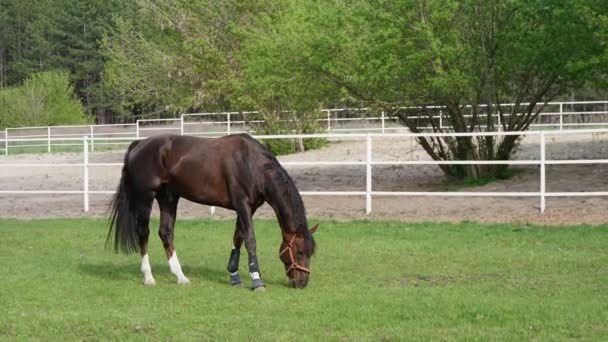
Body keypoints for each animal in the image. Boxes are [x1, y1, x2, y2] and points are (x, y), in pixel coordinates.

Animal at [106, 134, 318, 288]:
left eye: (310, 253)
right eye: (299, 252)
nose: (301, 283)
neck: (252, 164)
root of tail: (139, 143)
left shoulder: (247, 208)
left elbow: (238, 238)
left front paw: (234, 276)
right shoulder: (242, 205)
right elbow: (250, 240)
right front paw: (256, 279)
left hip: (168, 198)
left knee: (166, 233)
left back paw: (181, 277)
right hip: (146, 197)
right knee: (143, 233)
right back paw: (148, 277)